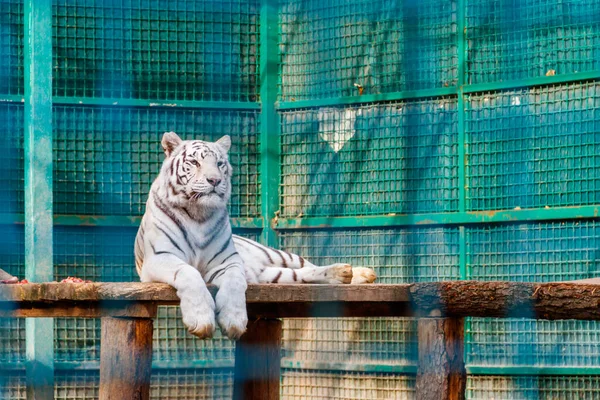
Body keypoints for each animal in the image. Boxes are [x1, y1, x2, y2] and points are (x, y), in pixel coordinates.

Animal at [136, 133, 376, 340]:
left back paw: (357, 273)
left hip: (280, 256)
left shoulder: (228, 261)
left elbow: (234, 283)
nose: (214, 180)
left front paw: (233, 321)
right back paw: (343, 274)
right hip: (273, 275)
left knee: (308, 265)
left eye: (220, 164)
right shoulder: (159, 258)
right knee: (303, 275)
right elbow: (188, 272)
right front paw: (201, 320)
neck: (199, 214)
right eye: (194, 162)